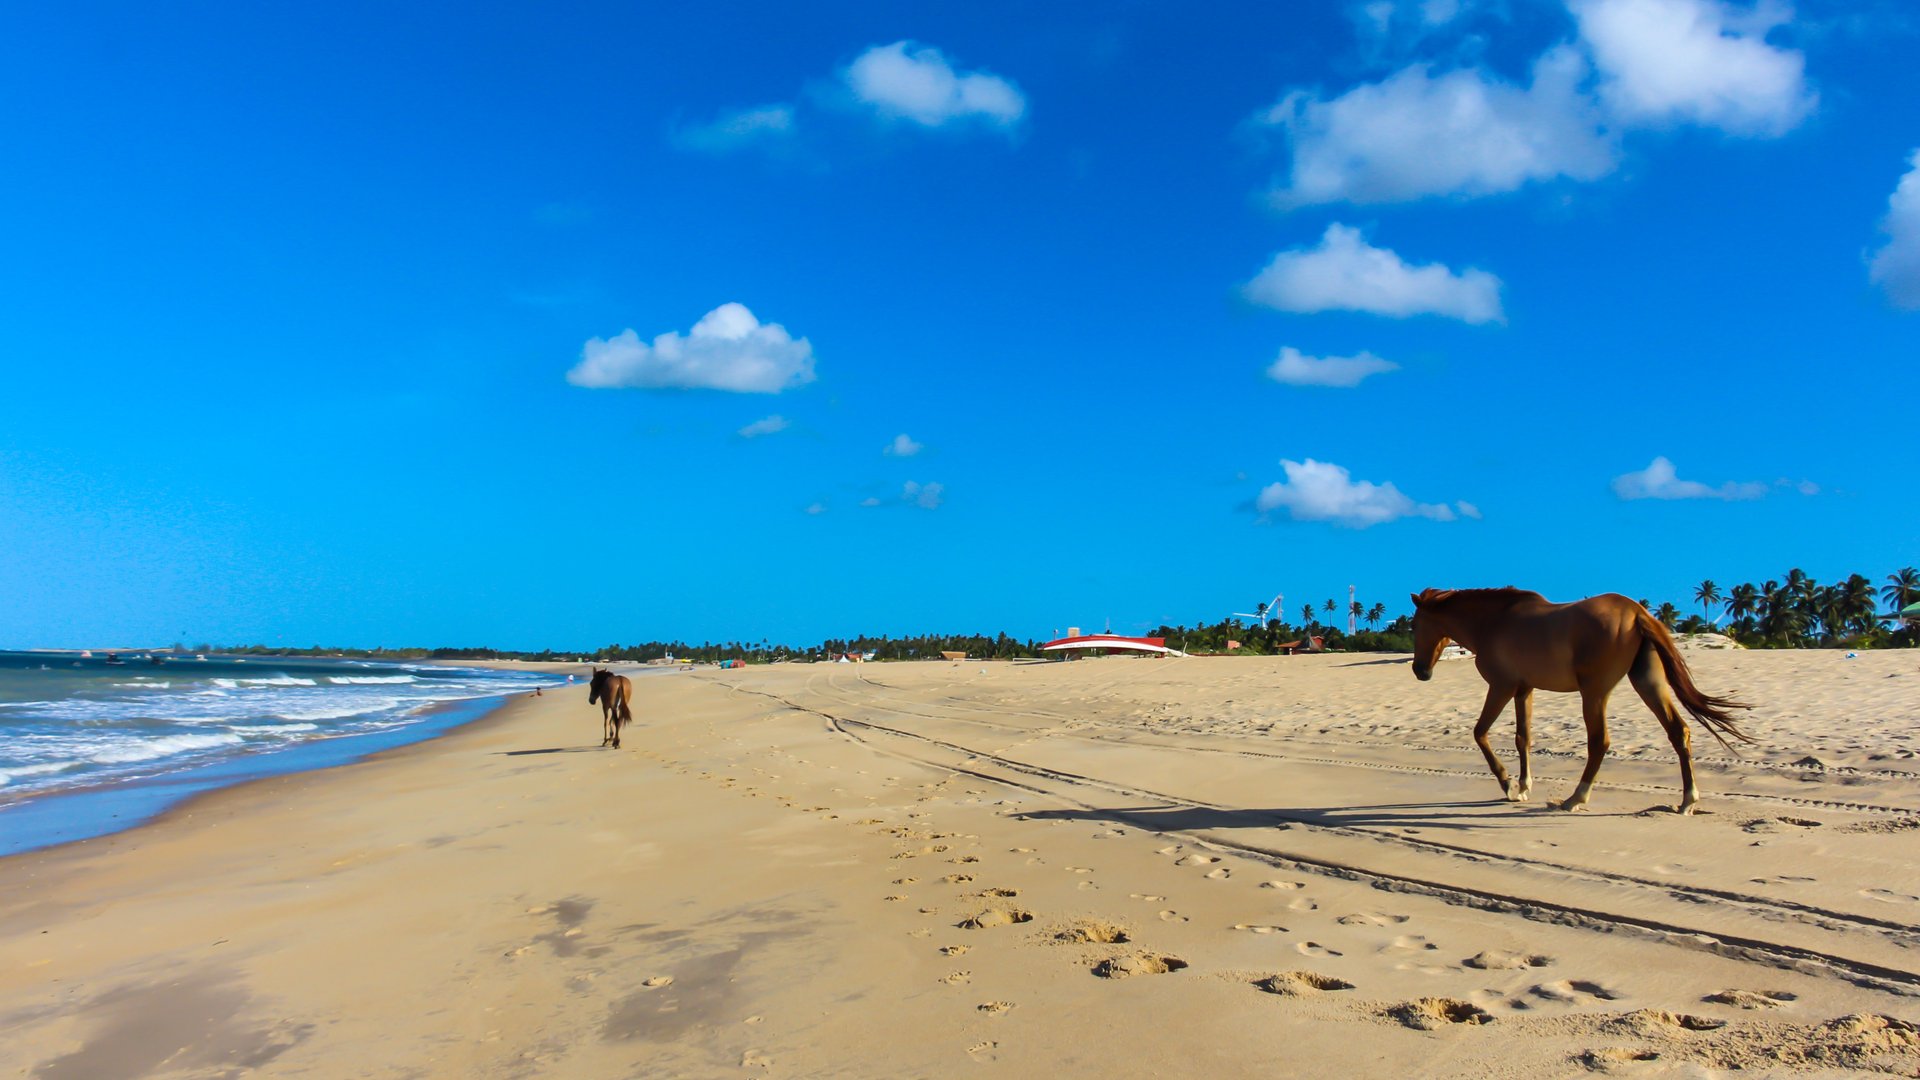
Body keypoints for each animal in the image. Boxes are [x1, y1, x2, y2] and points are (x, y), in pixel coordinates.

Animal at [1405, 588, 1751, 807]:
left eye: (1415, 624)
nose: (1420, 671)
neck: (1494, 622)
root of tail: (1637, 612)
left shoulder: (1501, 687)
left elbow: (1480, 733)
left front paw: (1508, 785)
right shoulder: (1523, 690)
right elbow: (1522, 738)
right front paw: (1523, 786)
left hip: (1594, 693)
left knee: (1599, 741)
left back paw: (1575, 799)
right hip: (1647, 683)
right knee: (1679, 731)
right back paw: (1687, 801)